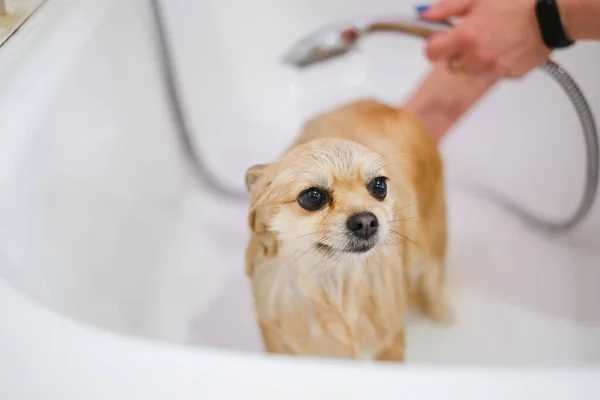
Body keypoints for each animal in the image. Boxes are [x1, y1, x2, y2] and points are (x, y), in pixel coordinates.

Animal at [245, 100, 450, 362]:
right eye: (312, 197)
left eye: (379, 186)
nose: (366, 221)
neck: (336, 284)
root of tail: (391, 107)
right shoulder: (279, 343)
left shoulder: (390, 341)